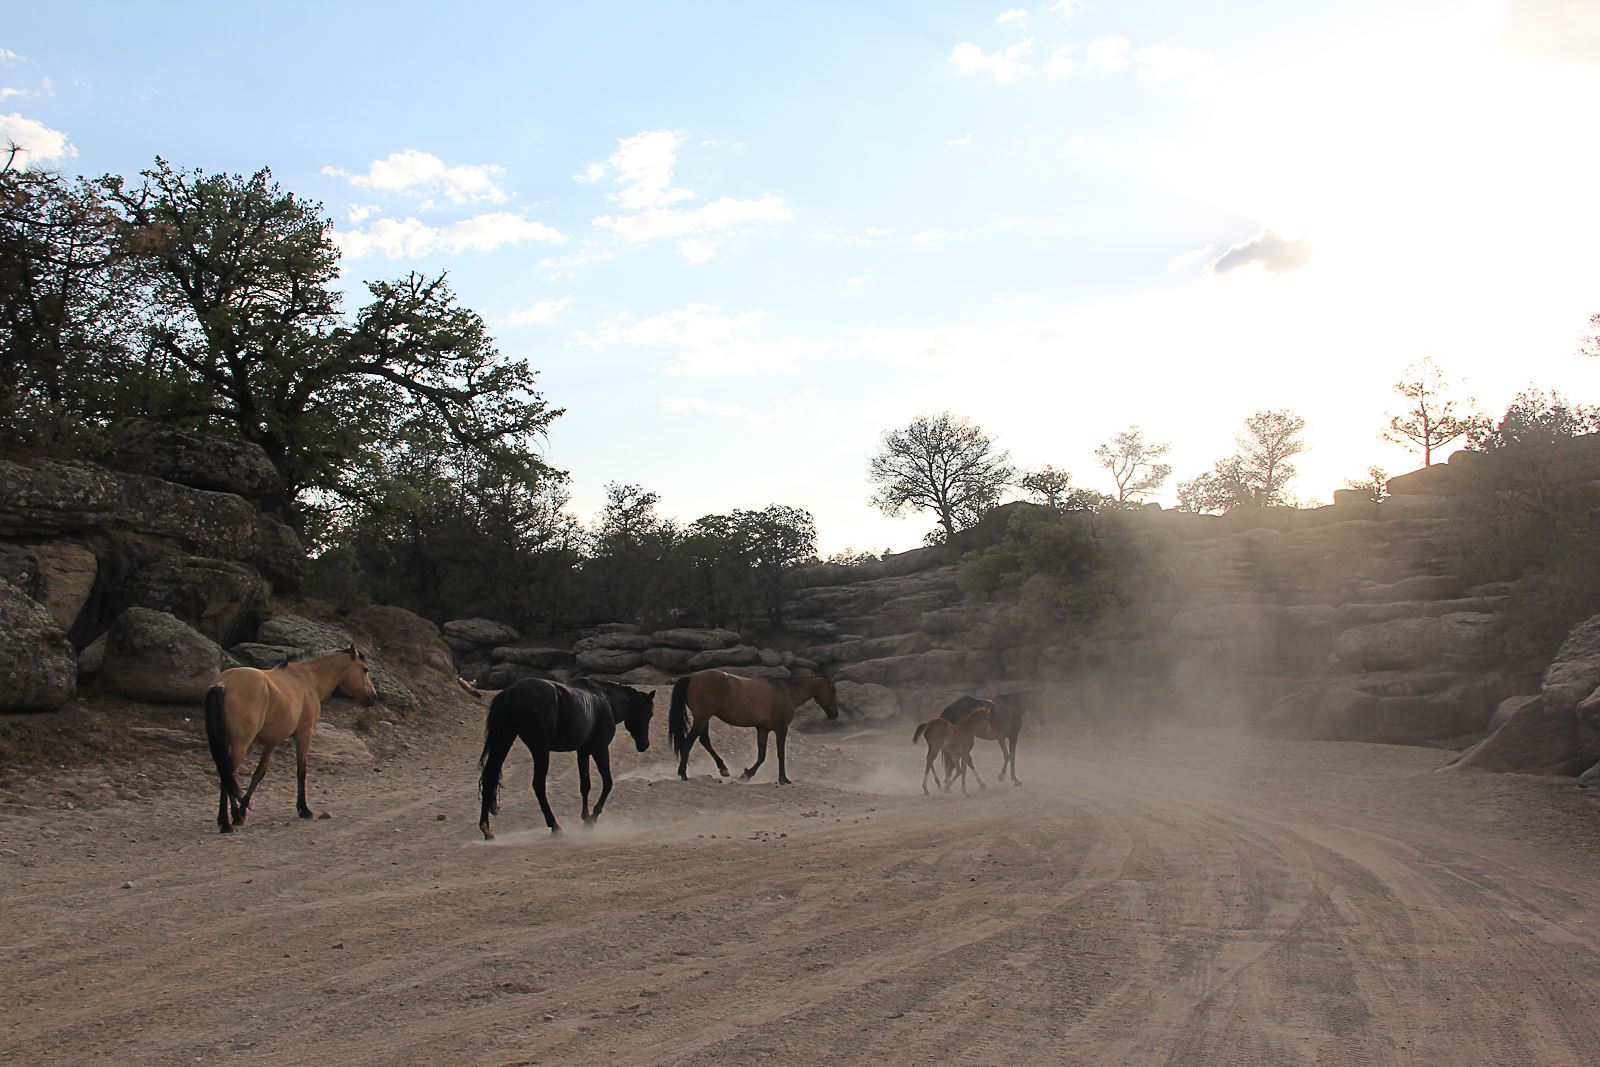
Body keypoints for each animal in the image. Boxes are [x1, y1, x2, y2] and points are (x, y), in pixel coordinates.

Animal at [203, 643, 377, 831]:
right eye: (365, 669)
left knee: (227, 775)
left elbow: (258, 774)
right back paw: (226, 823)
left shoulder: (272, 742)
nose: (373, 697)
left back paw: (232, 817)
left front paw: (242, 811)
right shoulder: (304, 734)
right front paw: (304, 809)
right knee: (228, 774)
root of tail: (223, 683)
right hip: (240, 744)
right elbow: (301, 771)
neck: (307, 679)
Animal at [476, 681, 652, 838]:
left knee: (489, 777)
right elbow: (608, 782)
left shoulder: (583, 751)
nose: (644, 744)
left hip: (504, 740)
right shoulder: (600, 749)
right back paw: (554, 825)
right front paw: (592, 818)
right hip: (540, 750)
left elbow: (585, 785)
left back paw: (486, 829)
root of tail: (511, 692)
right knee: (538, 785)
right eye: (649, 714)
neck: (604, 700)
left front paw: (585, 817)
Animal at [665, 671, 838, 790]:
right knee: (689, 742)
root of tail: (691, 677)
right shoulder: (781, 729)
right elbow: (780, 754)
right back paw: (683, 774)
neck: (785, 691)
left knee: (704, 740)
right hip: (702, 718)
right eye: (833, 690)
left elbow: (761, 756)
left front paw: (746, 775)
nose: (835, 714)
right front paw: (783, 779)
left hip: (704, 719)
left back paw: (723, 769)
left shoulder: (763, 729)